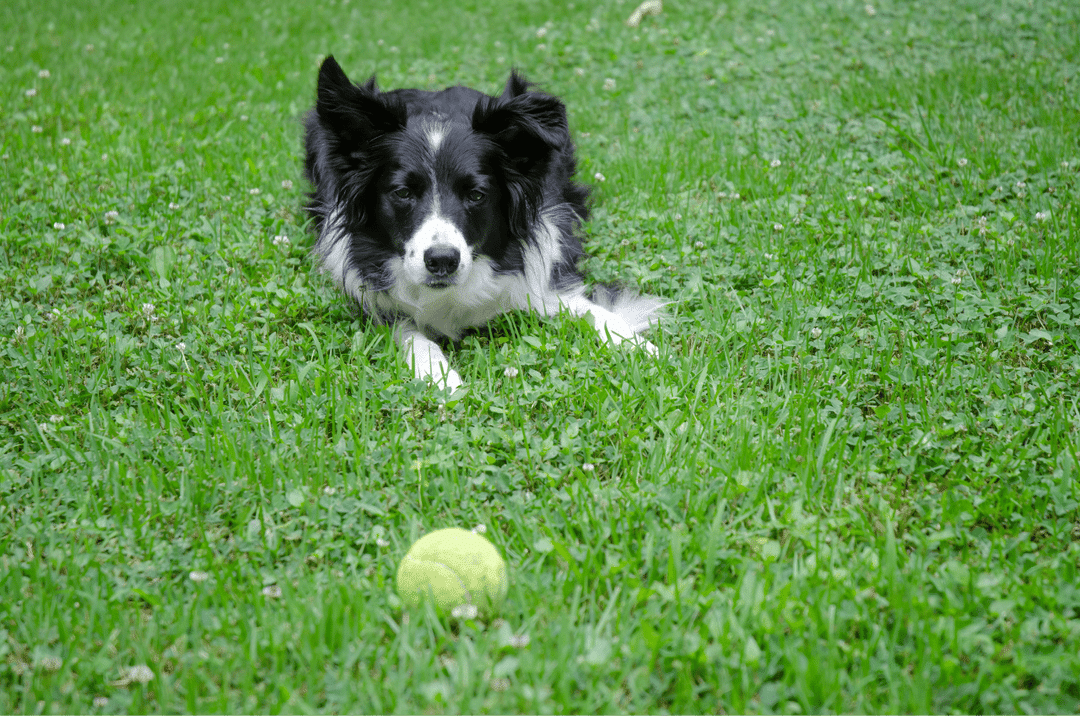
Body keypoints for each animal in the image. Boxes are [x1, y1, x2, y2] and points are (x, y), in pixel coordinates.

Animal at [300, 57, 660, 393]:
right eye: (402, 192)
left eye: (476, 194)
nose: (442, 261)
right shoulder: (372, 299)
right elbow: (411, 333)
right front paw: (440, 376)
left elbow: (590, 309)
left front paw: (640, 346)